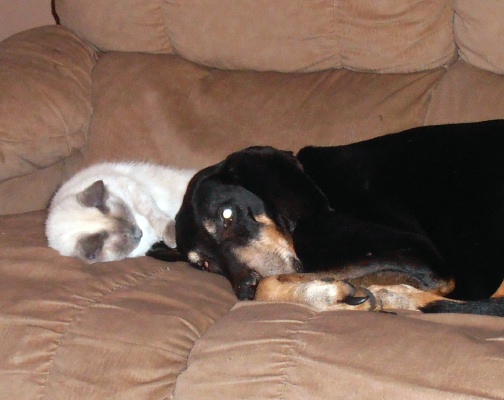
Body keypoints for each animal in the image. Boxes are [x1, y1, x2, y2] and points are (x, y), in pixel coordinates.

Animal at [46, 162, 196, 263]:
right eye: (127, 237)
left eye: (129, 216)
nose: (140, 233)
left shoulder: (133, 189)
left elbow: (154, 214)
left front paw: (172, 238)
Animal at [151, 120, 504, 316]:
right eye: (204, 264)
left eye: (226, 215)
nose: (243, 290)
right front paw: (331, 293)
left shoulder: (421, 258)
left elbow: (270, 282)